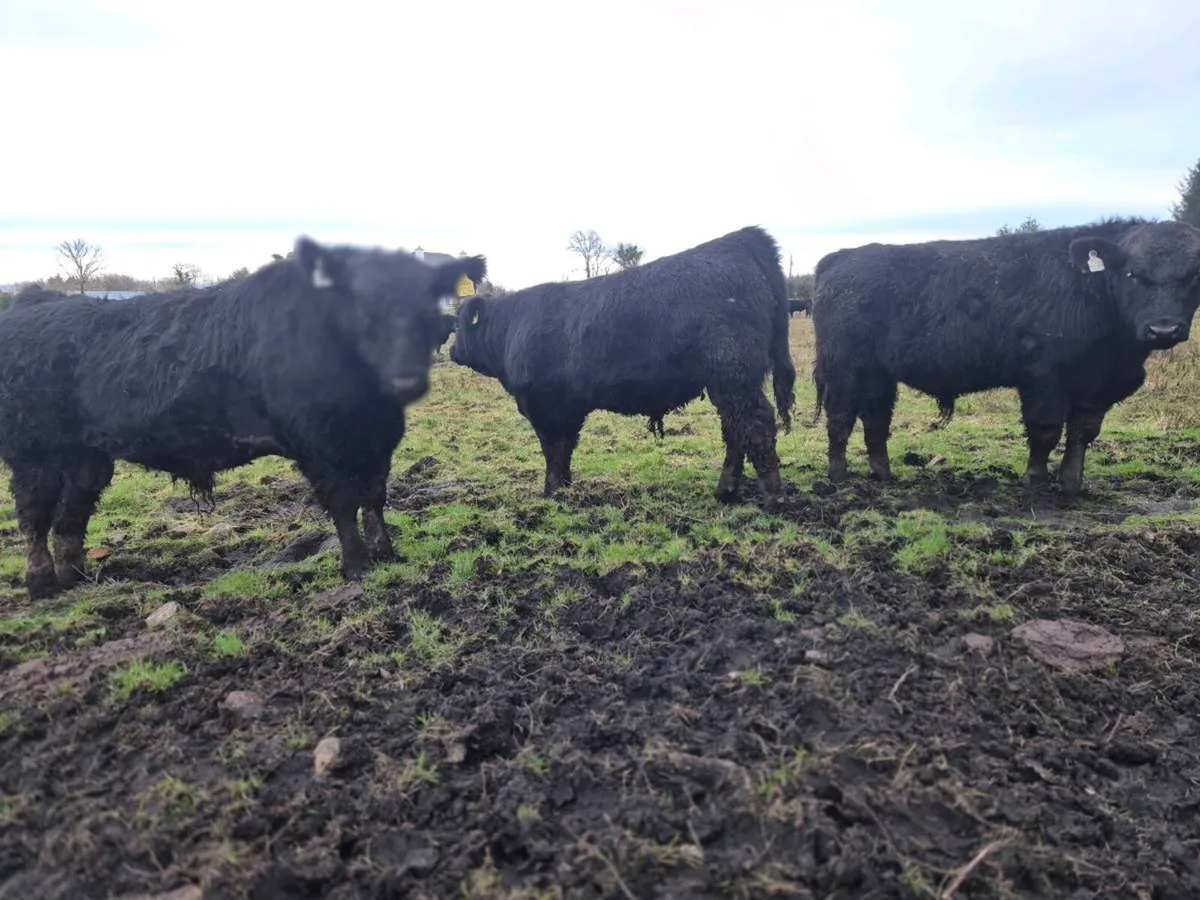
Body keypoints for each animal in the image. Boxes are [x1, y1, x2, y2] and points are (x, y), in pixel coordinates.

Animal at [0, 237, 486, 600]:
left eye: (427, 304)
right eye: (363, 307)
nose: (405, 379)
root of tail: (31, 302)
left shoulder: (376, 440)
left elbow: (375, 498)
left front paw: (387, 554)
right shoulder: (320, 442)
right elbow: (345, 502)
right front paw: (357, 566)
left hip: (85, 455)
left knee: (71, 515)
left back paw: (76, 578)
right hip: (32, 452)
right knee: (35, 515)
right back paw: (41, 584)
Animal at [450, 225, 796, 506]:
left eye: (460, 322)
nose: (452, 350)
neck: (512, 328)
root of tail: (739, 239)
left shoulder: (543, 405)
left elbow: (553, 450)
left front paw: (552, 494)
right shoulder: (567, 408)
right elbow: (565, 450)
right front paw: (565, 488)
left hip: (734, 374)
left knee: (757, 424)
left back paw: (773, 497)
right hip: (727, 382)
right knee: (735, 429)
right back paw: (725, 491)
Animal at [811, 217, 1200, 494]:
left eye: (1193, 275)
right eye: (1133, 274)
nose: (1163, 329)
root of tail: (841, 257)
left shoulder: (1095, 386)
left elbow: (1082, 434)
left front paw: (1072, 484)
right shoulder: (1043, 377)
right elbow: (1045, 431)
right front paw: (1035, 480)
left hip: (878, 374)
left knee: (876, 419)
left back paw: (883, 474)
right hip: (844, 369)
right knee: (840, 418)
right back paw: (838, 478)